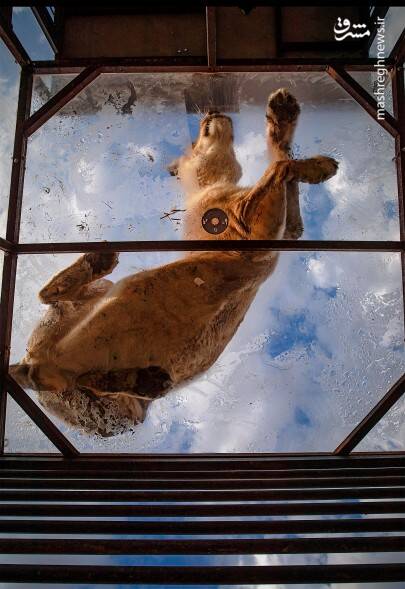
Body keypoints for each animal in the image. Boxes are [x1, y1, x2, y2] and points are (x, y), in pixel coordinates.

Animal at [10, 88, 338, 437]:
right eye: (194, 142)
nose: (212, 109)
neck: (209, 189)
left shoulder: (281, 232)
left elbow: (283, 165)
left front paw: (288, 121)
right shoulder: (251, 229)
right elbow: (280, 164)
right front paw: (312, 157)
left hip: (113, 400)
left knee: (72, 376)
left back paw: (146, 379)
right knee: (45, 339)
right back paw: (100, 265)